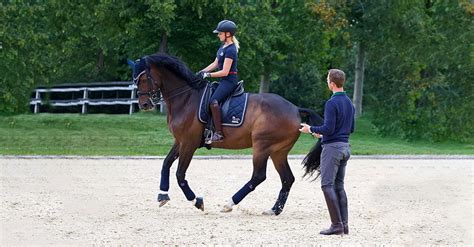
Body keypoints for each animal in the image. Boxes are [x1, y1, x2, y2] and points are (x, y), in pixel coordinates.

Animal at [129, 53, 322, 215]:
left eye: (144, 78)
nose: (144, 104)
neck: (185, 99)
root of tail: (295, 109)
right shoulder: (180, 141)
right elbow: (166, 164)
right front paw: (162, 195)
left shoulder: (189, 143)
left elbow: (179, 174)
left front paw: (197, 201)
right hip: (278, 151)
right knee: (287, 179)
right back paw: (274, 210)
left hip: (262, 146)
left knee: (259, 176)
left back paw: (229, 203)